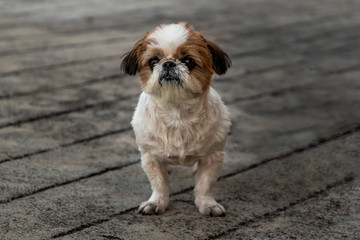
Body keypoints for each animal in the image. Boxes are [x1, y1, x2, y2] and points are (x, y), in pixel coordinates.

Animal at [121, 22, 232, 217]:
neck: (177, 114)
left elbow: (204, 184)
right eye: (153, 61)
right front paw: (156, 202)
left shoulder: (212, 156)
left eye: (188, 62)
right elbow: (159, 183)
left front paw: (208, 204)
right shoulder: (151, 157)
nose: (168, 63)